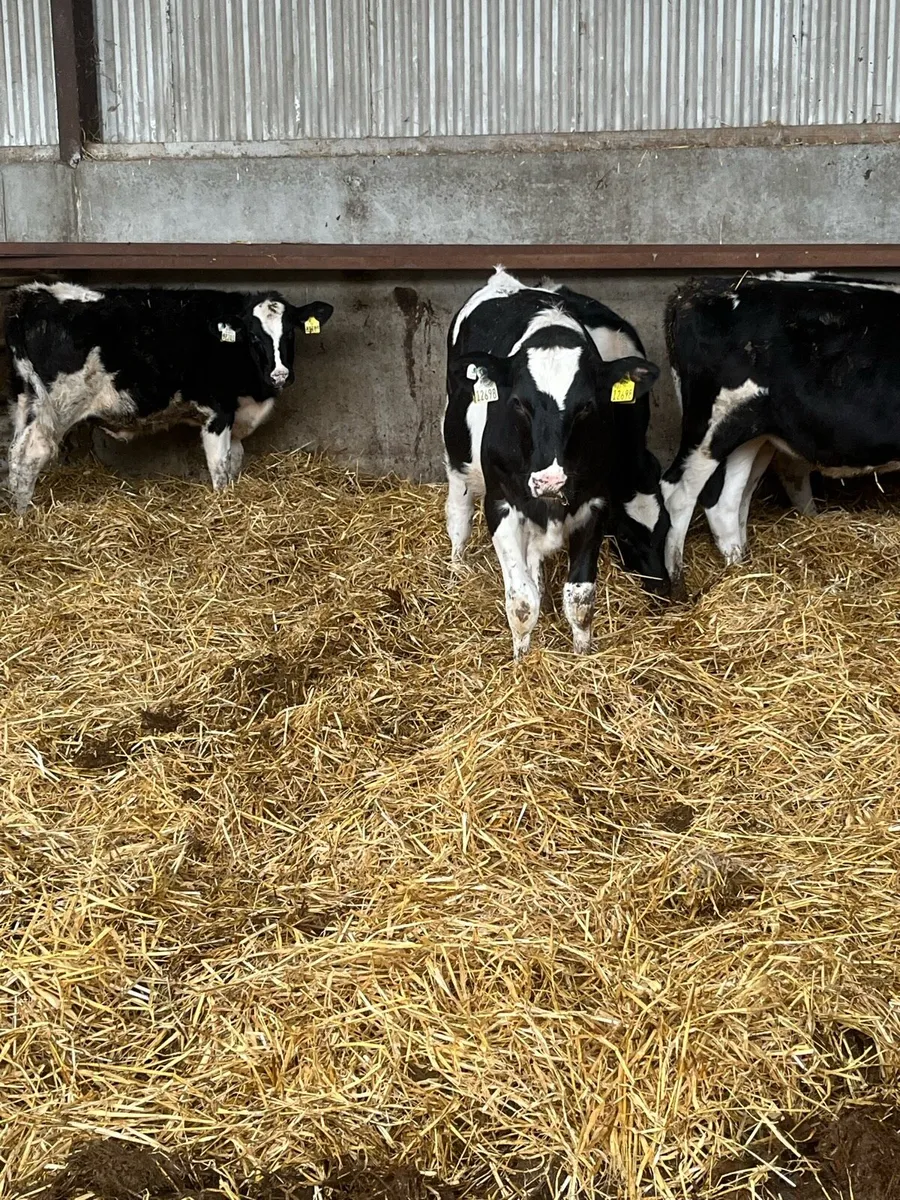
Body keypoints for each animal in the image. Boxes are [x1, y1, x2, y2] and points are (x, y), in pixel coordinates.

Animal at [5, 282, 333, 512]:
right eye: (254, 336)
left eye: (290, 333)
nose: (279, 374)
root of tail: (31, 296)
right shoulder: (218, 413)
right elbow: (220, 468)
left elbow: (235, 461)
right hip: (57, 406)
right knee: (29, 456)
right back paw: (25, 520)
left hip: (26, 401)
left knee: (14, 454)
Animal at [444, 267, 668, 659]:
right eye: (518, 403)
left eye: (586, 406)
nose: (550, 481)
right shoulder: (501, 503)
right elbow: (521, 602)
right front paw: (521, 659)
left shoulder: (595, 503)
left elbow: (579, 599)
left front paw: (582, 654)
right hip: (456, 456)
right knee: (458, 515)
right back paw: (457, 571)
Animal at [662, 270, 900, 590]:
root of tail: (695, 289)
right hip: (709, 428)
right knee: (678, 494)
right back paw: (676, 584)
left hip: (751, 432)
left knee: (728, 501)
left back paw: (740, 568)